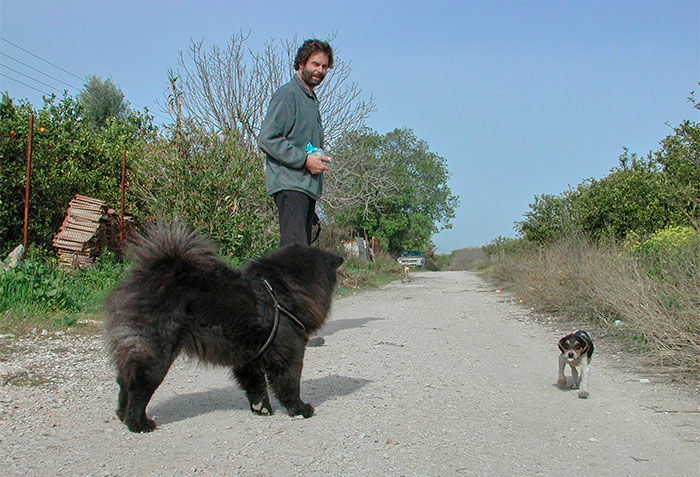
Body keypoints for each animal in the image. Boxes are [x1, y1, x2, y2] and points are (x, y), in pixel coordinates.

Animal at [103, 222, 342, 432]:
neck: (282, 291)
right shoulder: (288, 353)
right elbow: (289, 384)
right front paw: (300, 409)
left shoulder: (249, 360)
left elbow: (256, 386)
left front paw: (261, 408)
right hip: (155, 356)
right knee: (138, 387)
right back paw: (139, 424)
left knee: (124, 381)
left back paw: (122, 415)